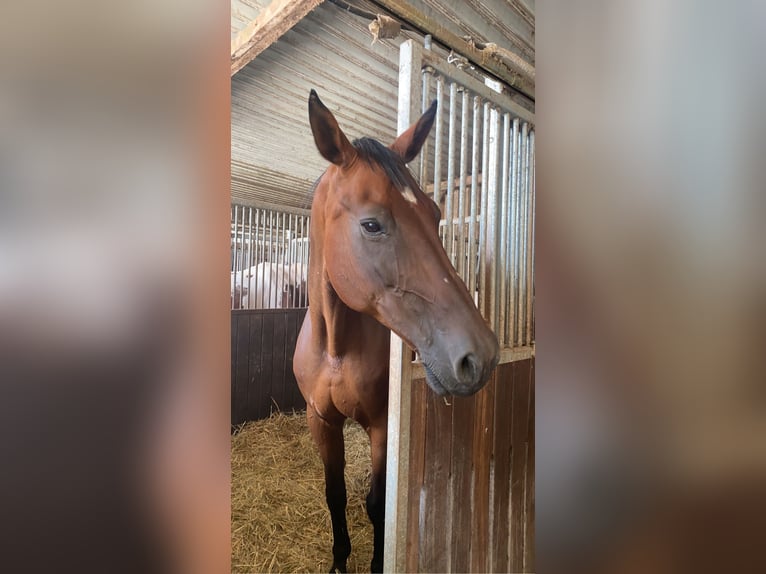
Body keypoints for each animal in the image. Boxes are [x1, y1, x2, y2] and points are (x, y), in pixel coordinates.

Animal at [292, 92, 498, 572]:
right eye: (372, 224)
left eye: (435, 213)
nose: (481, 356)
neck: (335, 349)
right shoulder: (320, 419)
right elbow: (335, 494)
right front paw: (339, 561)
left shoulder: (383, 425)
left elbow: (378, 504)